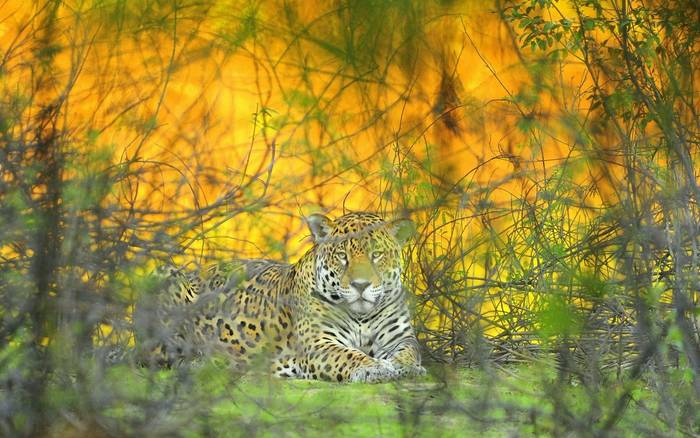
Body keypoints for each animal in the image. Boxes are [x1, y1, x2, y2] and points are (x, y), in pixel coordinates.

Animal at [137, 212, 426, 383]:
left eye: (377, 255)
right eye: (342, 256)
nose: (360, 285)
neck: (362, 315)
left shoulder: (401, 338)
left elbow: (409, 352)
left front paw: (406, 367)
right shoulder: (319, 344)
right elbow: (349, 355)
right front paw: (375, 368)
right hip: (165, 275)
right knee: (160, 356)